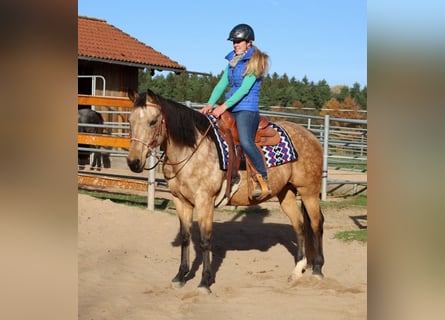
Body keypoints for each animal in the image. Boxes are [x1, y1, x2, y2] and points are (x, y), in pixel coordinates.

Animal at [125, 89, 322, 294]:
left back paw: (317, 269)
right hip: (287, 194)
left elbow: (205, 240)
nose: (133, 162)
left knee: (316, 224)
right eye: (130, 121)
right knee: (300, 225)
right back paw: (298, 270)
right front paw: (180, 276)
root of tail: (311, 136)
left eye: (153, 121)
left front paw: (204, 282)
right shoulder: (181, 201)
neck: (192, 150)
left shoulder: (205, 201)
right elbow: (186, 237)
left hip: (309, 192)